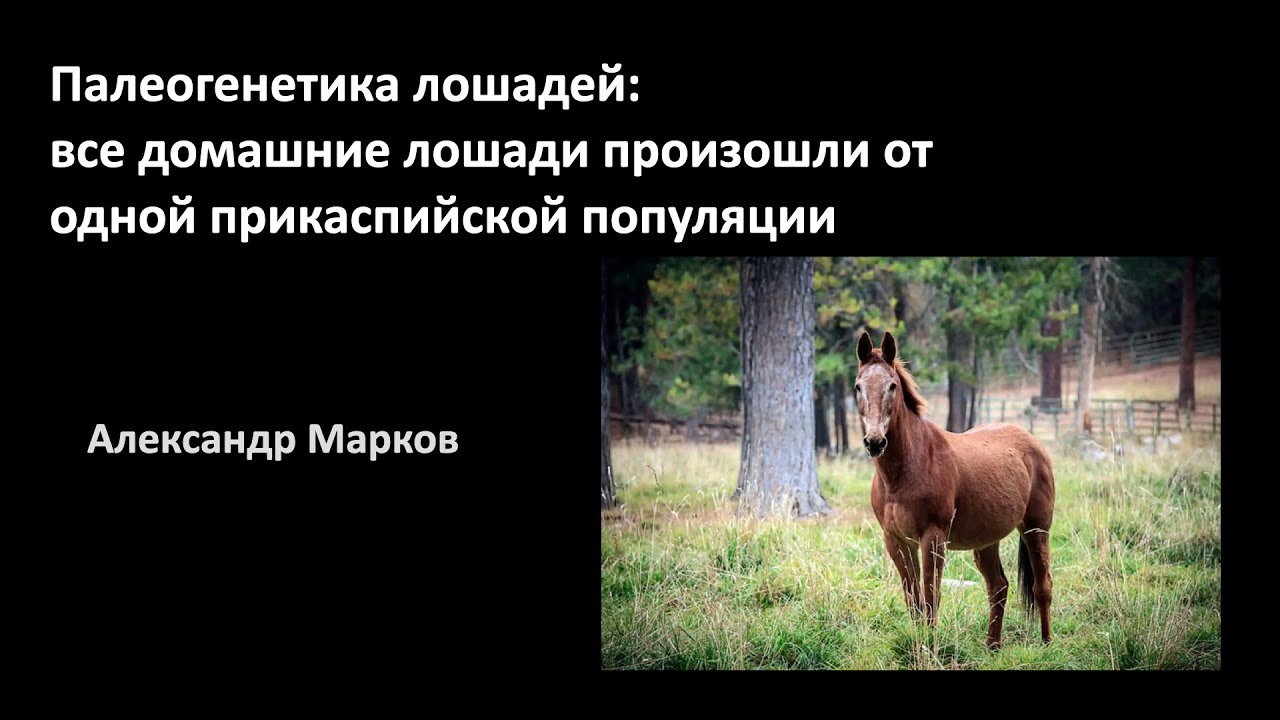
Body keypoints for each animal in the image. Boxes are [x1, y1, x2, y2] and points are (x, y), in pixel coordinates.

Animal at [855, 331, 1055, 649]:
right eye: (858, 386)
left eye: (892, 385)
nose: (875, 441)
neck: (908, 468)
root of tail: (1033, 442)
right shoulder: (897, 541)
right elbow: (913, 600)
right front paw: (919, 644)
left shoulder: (932, 538)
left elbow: (930, 597)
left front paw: (930, 646)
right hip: (987, 540)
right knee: (998, 586)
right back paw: (992, 646)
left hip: (1036, 529)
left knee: (1042, 585)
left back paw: (1046, 643)